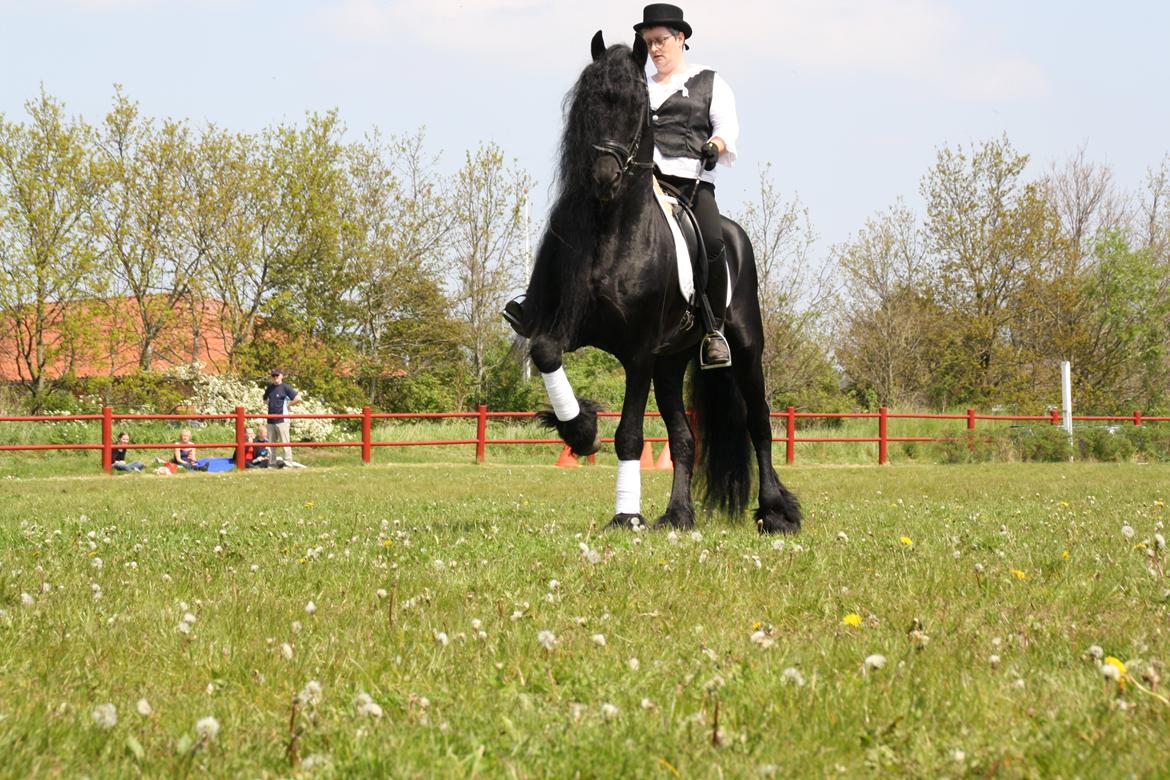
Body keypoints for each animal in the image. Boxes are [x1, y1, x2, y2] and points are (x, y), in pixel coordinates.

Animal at [526, 35, 800, 537]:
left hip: (745, 348)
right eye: (589, 103)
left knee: (759, 423)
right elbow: (547, 352)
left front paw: (625, 515)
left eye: (638, 106)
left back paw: (776, 512)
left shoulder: (637, 351)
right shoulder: (571, 329)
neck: (616, 230)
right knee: (685, 437)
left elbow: (630, 435)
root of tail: (734, 233)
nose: (604, 177)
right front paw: (580, 429)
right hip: (671, 363)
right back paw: (678, 515)